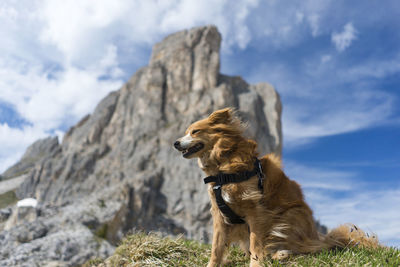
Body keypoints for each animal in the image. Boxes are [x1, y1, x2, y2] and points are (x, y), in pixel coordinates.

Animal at [173, 108, 380, 267]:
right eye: (186, 132)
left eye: (195, 132)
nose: (175, 143)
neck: (223, 167)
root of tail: (319, 236)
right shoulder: (219, 214)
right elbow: (216, 247)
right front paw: (212, 264)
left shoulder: (256, 211)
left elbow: (255, 243)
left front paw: (256, 264)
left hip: (290, 216)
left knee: (312, 248)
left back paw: (283, 253)